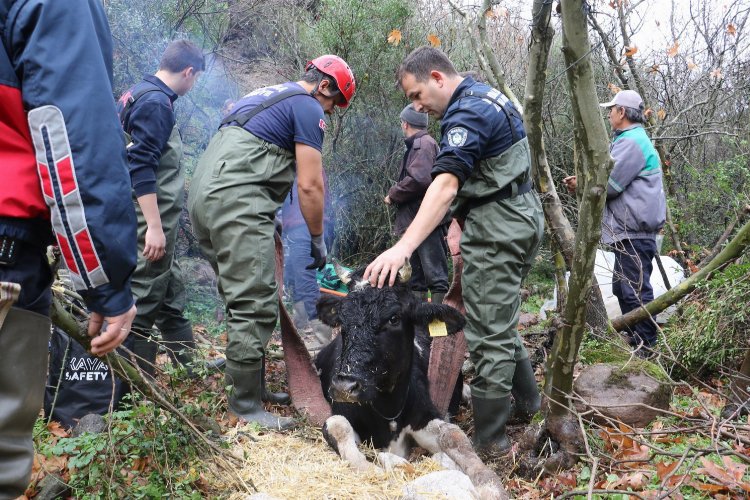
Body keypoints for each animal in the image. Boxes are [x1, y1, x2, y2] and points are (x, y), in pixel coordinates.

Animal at [314, 264, 508, 498]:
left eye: (394, 318)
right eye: (342, 321)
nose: (344, 386)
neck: (387, 408)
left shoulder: (423, 416)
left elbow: (453, 435)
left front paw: (489, 486)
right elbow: (338, 426)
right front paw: (378, 473)